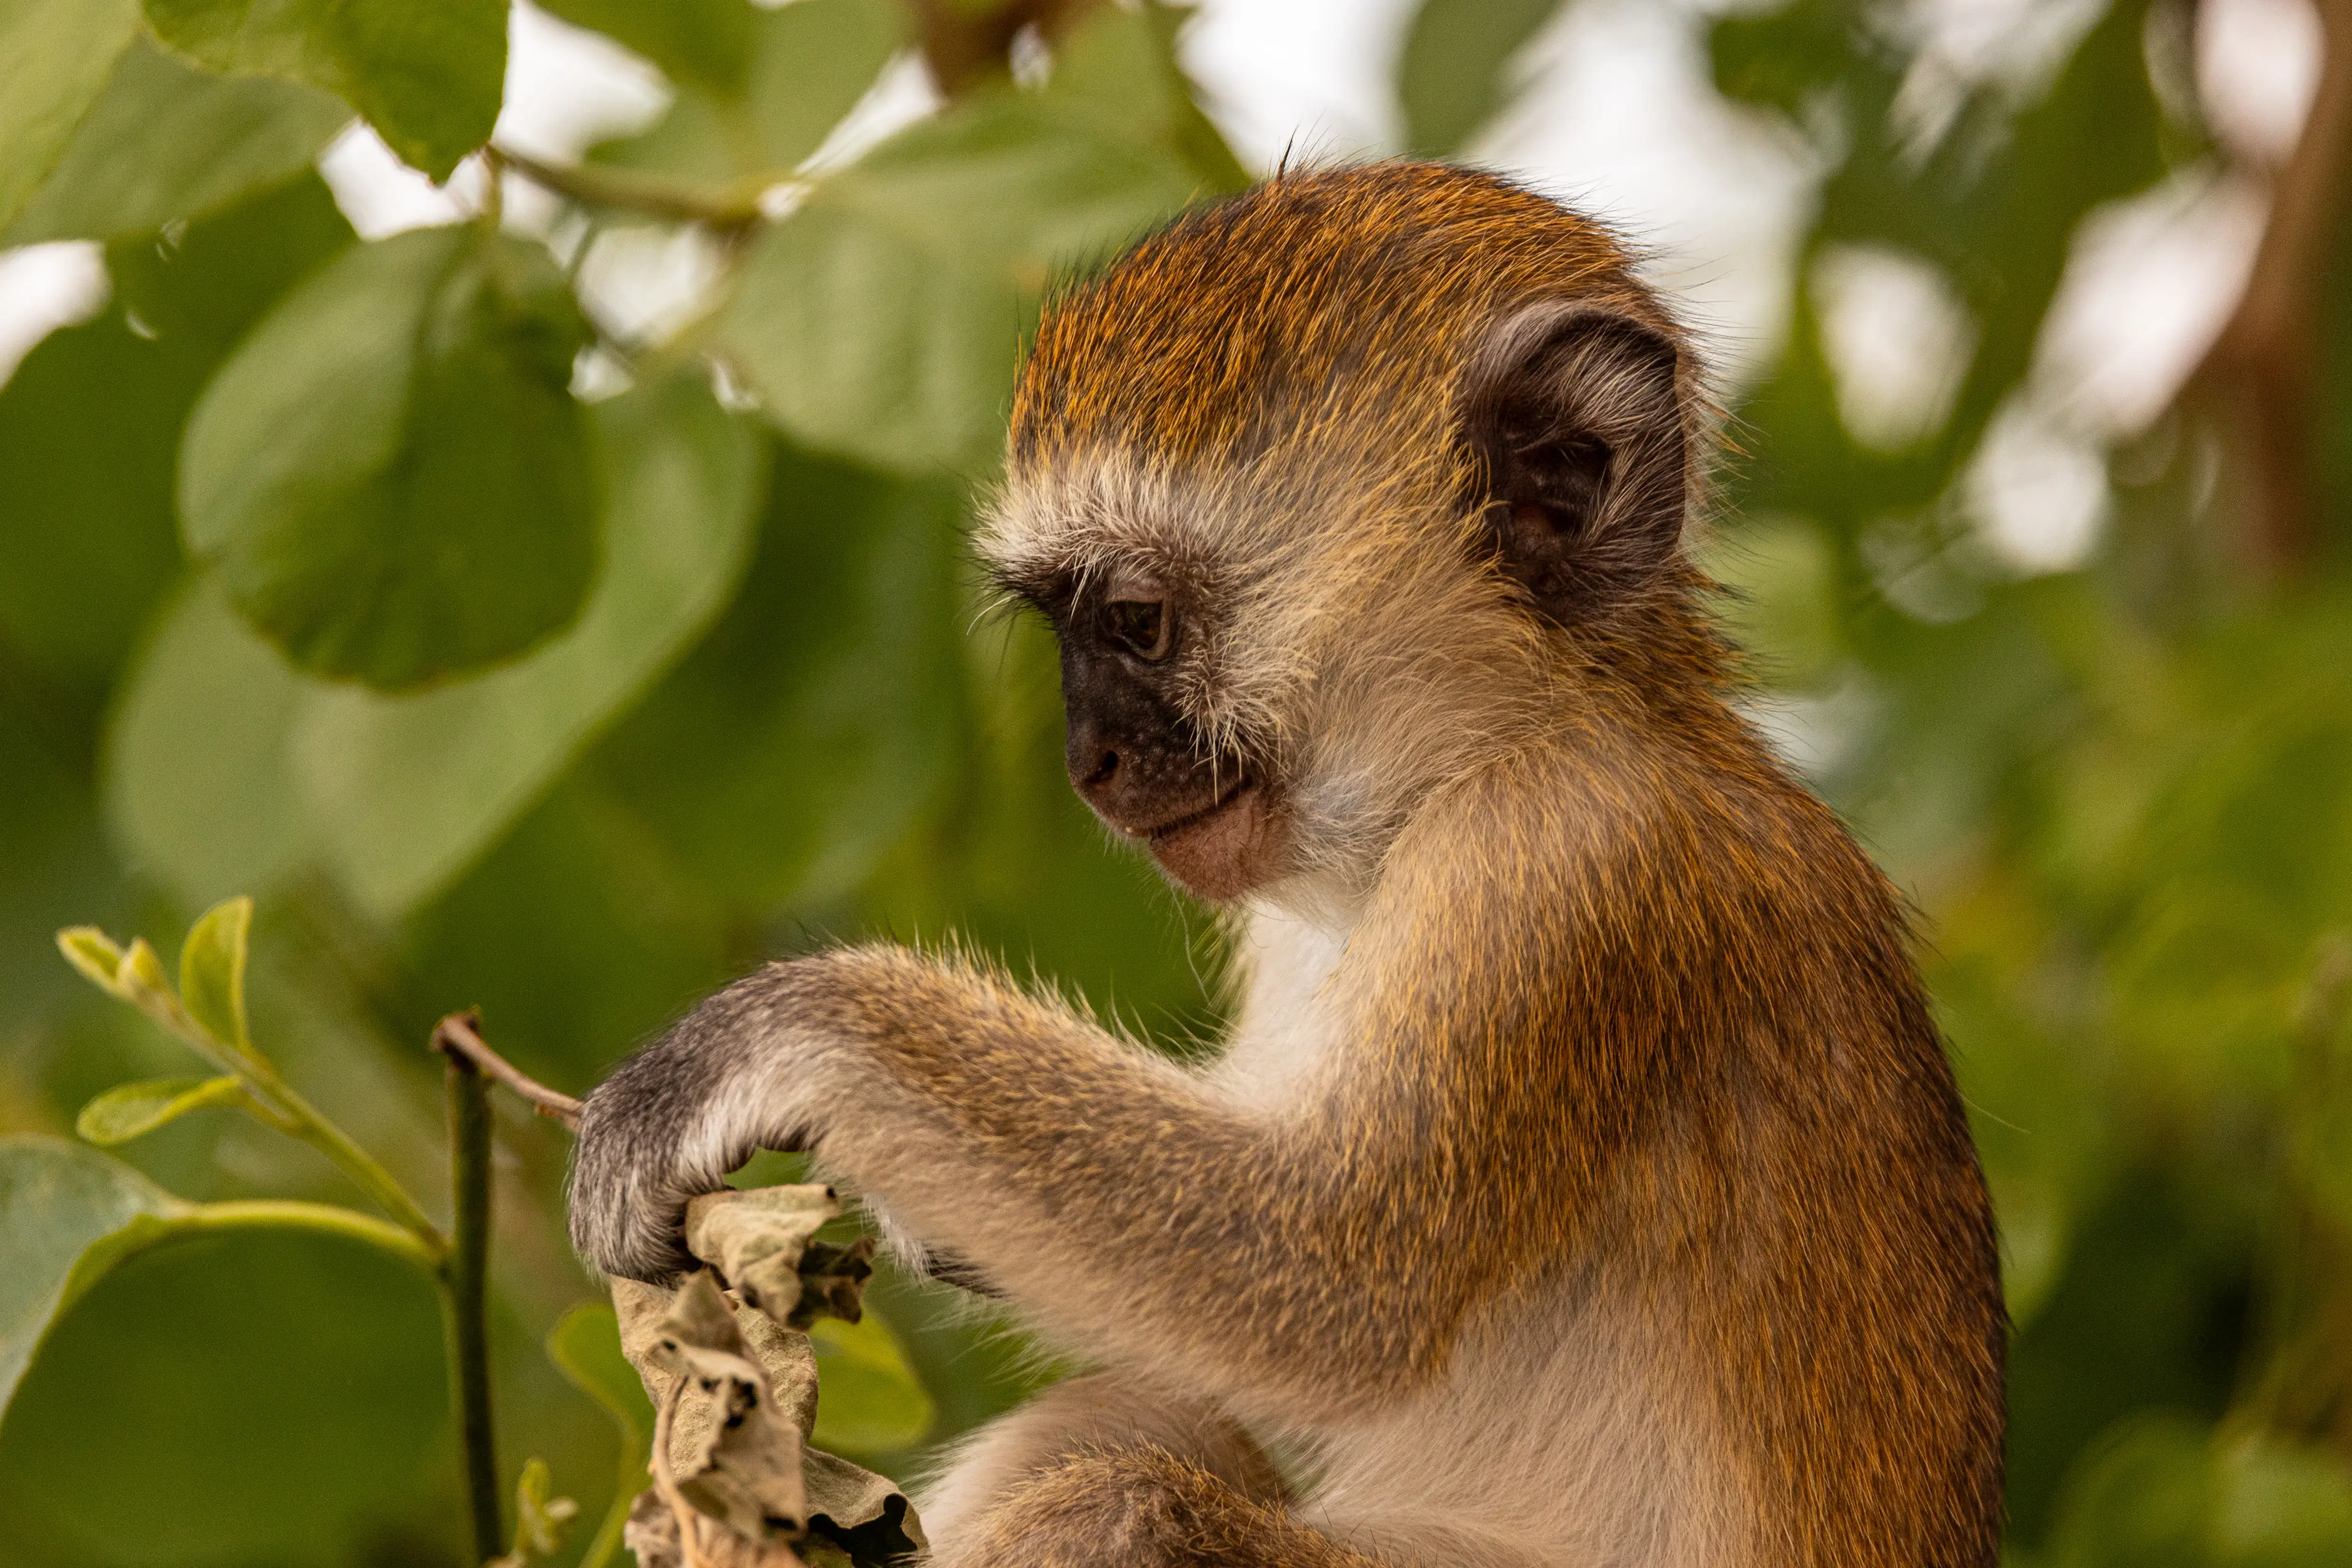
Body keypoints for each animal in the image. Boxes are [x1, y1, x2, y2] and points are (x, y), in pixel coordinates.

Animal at [568, 161, 2006, 1567]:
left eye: (1136, 622)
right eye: (1065, 629)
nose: (1090, 764)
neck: (1475, 763)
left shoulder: (1565, 865)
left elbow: (1327, 1281)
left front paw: (765, 1037)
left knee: (1124, 1504)